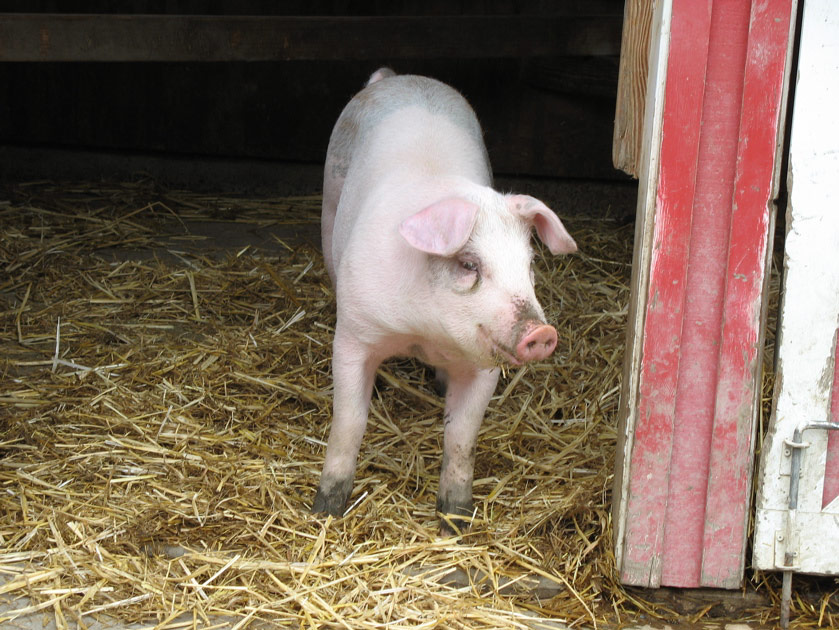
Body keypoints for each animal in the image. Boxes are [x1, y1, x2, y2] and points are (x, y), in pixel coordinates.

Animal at [316, 68, 576, 532]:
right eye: (469, 264)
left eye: (529, 264)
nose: (542, 332)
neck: (424, 333)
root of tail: (397, 77)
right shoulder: (355, 334)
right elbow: (349, 420)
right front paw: (325, 511)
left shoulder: (485, 366)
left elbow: (461, 437)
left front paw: (455, 524)